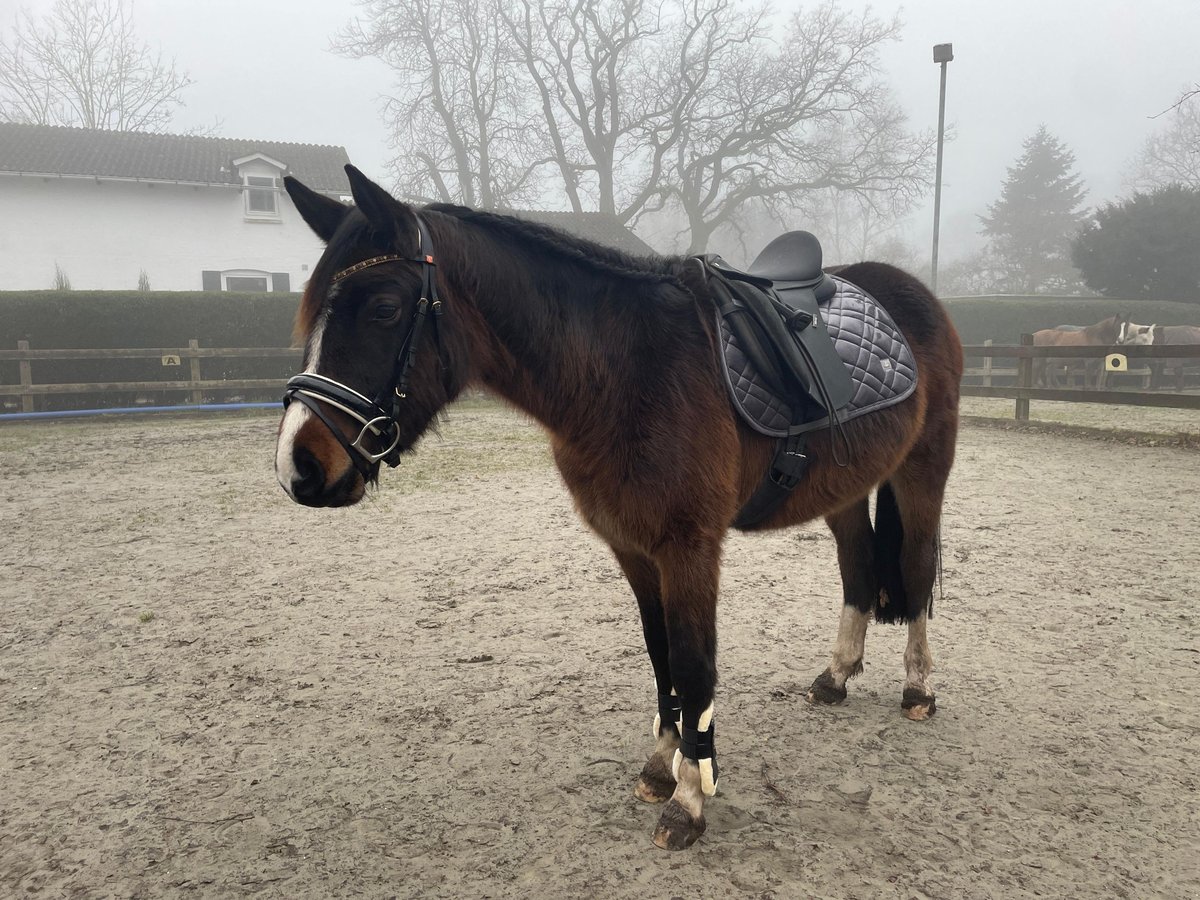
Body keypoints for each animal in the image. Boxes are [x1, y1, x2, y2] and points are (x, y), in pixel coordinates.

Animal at [274, 168, 964, 854]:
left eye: (385, 308)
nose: (298, 465)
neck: (625, 369)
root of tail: (908, 289)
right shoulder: (633, 548)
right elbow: (662, 660)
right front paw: (663, 769)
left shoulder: (689, 548)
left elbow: (694, 664)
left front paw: (690, 798)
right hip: (843, 487)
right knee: (858, 567)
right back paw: (837, 676)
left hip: (923, 468)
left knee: (916, 564)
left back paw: (919, 688)